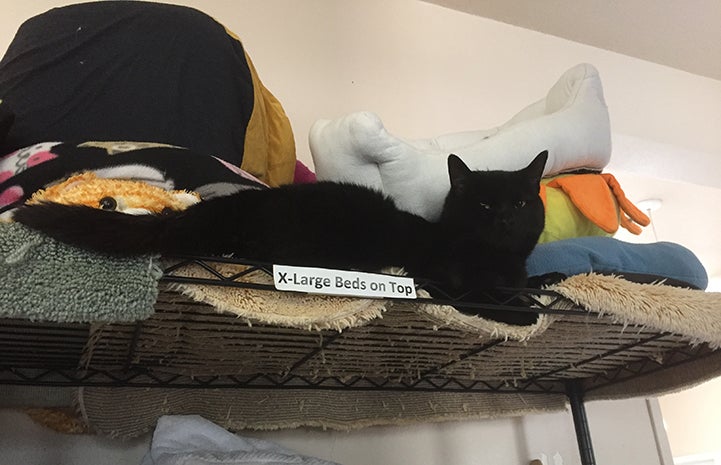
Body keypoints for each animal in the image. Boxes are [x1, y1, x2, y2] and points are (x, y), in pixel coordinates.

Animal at [14, 151, 544, 322]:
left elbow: (524, 285)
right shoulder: (444, 281)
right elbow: (489, 300)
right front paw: (525, 312)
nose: (503, 220)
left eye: (520, 204)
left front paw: (539, 285)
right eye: (482, 205)